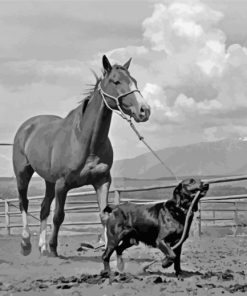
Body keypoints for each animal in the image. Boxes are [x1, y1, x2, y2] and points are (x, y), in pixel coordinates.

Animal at [12, 55, 151, 256]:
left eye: (135, 81)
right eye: (116, 81)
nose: (144, 110)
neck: (84, 141)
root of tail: (27, 126)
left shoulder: (102, 181)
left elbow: (104, 216)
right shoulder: (62, 184)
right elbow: (58, 216)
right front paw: (54, 248)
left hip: (49, 181)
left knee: (43, 208)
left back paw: (42, 247)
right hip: (23, 173)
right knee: (24, 202)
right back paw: (26, 243)